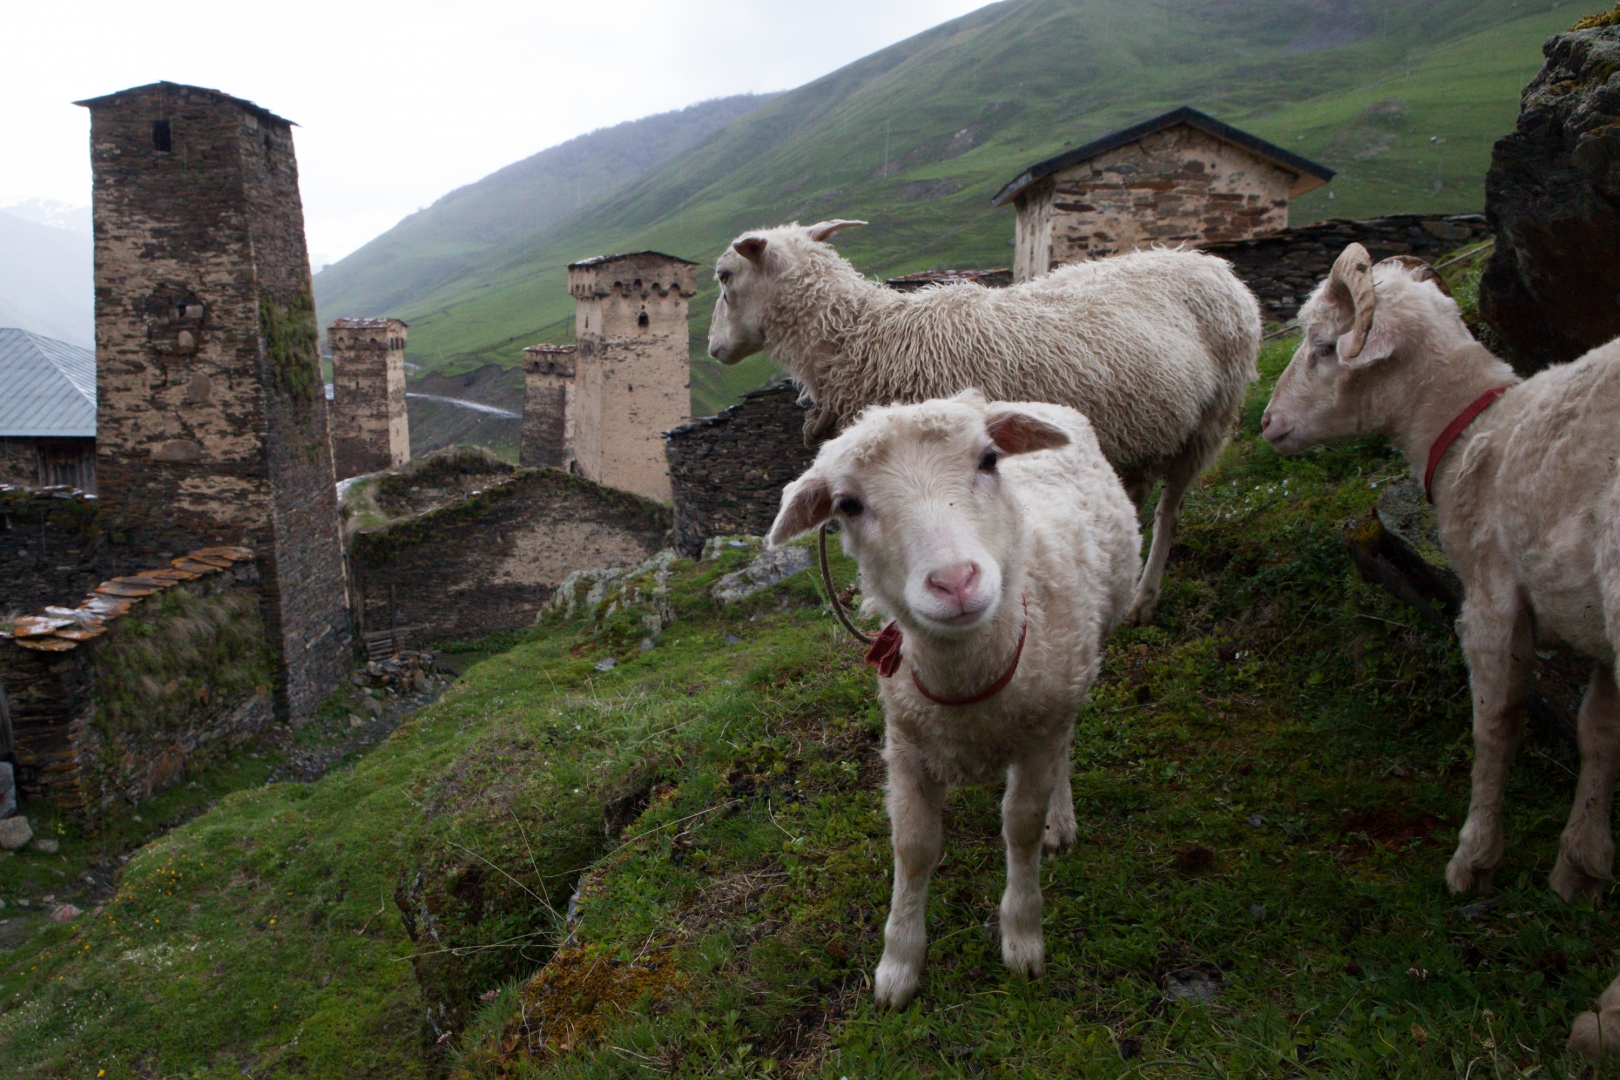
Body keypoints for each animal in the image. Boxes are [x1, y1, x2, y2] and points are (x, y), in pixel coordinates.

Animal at [712, 220, 1263, 625]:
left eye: (723, 276)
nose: (715, 349)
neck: (862, 340)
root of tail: (1214, 264)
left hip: (1210, 418)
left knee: (1170, 510)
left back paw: (1144, 598)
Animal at [767, 390, 1140, 1016]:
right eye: (847, 504)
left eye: (989, 460)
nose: (955, 582)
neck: (970, 683)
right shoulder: (906, 744)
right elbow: (914, 847)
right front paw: (898, 965)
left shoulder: (1037, 732)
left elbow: (1020, 825)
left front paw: (1022, 937)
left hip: (1077, 667)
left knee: (1066, 743)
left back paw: (1061, 819)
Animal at [1263, 242, 1620, 1055]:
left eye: (1324, 346)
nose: (1264, 421)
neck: (1475, 428)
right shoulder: (1599, 641)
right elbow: (1597, 737)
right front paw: (1578, 869)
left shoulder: (1491, 599)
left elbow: (1498, 726)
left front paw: (1475, 860)